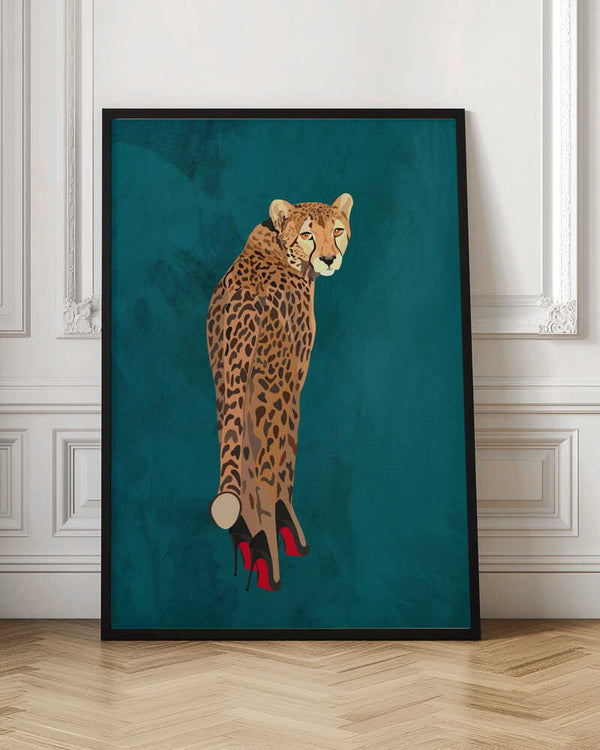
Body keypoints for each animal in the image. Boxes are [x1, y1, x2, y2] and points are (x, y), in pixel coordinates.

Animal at [206, 193, 353, 591]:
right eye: (308, 234)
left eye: (337, 230)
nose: (329, 258)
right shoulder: (294, 377)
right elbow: (288, 453)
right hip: (271, 391)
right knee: (265, 472)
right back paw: (273, 551)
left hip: (227, 383)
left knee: (240, 457)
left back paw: (248, 540)